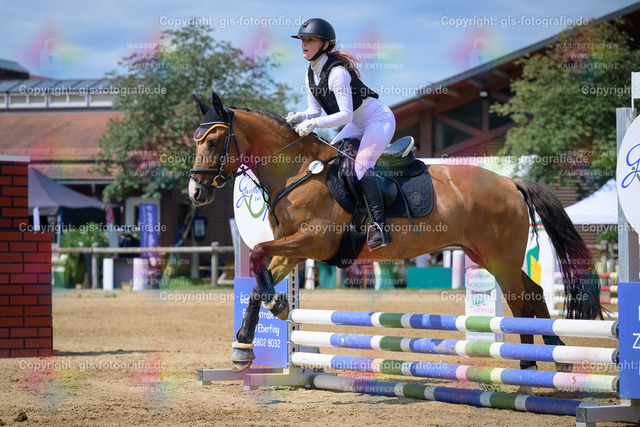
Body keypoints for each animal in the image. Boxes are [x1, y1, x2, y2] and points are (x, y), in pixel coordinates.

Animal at [187, 91, 602, 375]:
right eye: (195, 140)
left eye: (214, 140)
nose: (196, 193)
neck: (297, 171)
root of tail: (511, 182)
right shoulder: (295, 249)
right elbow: (259, 279)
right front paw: (244, 346)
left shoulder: (314, 242)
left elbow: (258, 252)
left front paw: (278, 307)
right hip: (487, 255)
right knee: (533, 293)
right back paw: (550, 356)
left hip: (500, 258)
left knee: (520, 300)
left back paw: (531, 364)